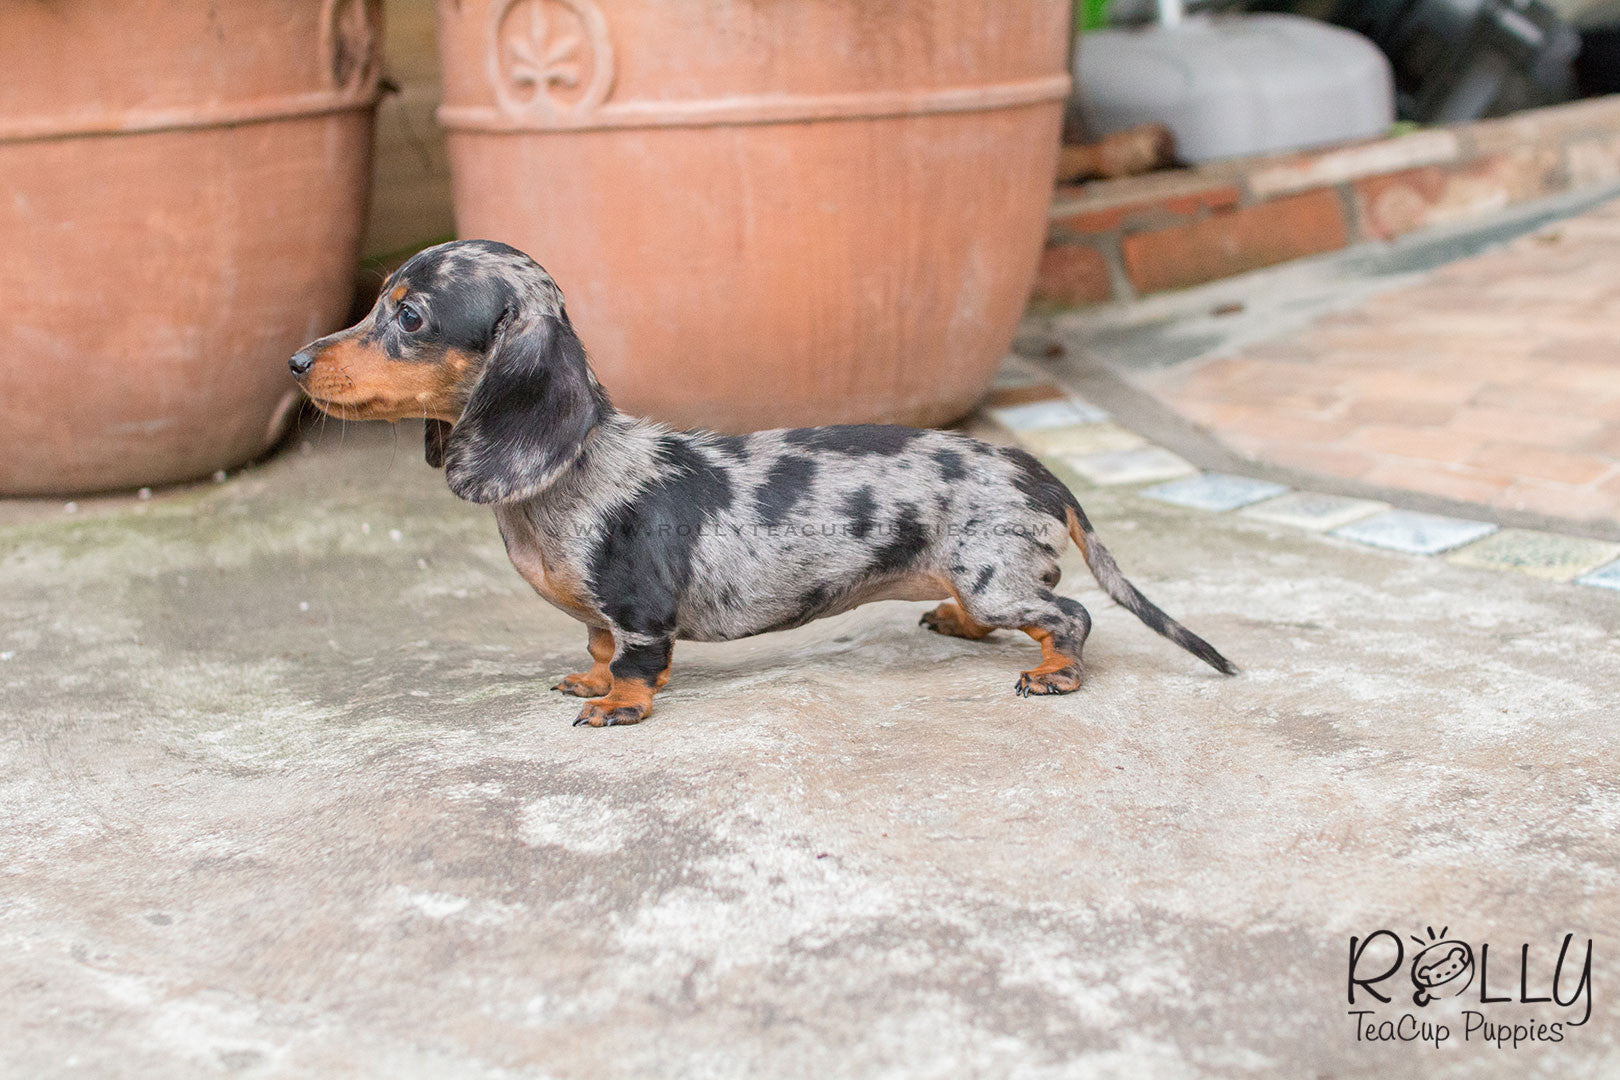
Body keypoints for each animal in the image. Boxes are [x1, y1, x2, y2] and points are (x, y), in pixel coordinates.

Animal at [291, 241, 1231, 731]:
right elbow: (594, 647)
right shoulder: (601, 616)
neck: (572, 469)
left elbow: (635, 660)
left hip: (998, 574)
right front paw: (591, 681)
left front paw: (617, 705)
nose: (295, 361)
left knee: (1068, 615)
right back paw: (959, 622)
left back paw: (1056, 674)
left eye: (409, 316)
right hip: (983, 577)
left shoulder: (640, 610)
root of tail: (1035, 467)